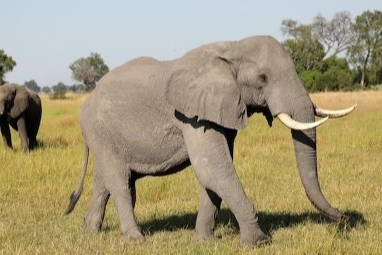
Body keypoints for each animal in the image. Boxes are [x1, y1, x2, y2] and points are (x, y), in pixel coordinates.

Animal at [65, 34, 356, 246]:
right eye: (262, 78)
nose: (344, 220)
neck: (233, 48)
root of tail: (88, 99)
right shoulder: (191, 115)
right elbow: (212, 168)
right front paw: (258, 242)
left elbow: (215, 173)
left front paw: (204, 242)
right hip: (100, 130)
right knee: (120, 182)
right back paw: (136, 240)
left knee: (106, 181)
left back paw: (89, 233)